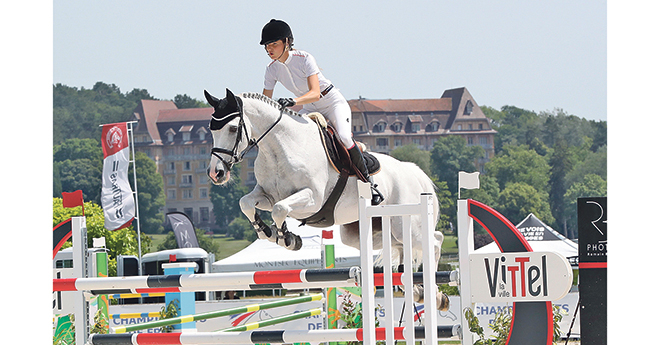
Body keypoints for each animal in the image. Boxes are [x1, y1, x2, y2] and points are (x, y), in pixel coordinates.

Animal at [204, 88, 446, 310]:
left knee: (435, 240)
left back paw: (434, 293)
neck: (280, 148)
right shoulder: (267, 195)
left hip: (405, 224)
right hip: (366, 233)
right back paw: (417, 291)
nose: (216, 173)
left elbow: (280, 209)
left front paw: (287, 238)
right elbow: (246, 204)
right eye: (211, 130)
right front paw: (267, 231)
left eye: (233, 128)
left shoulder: (312, 198)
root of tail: (414, 172)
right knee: (404, 248)